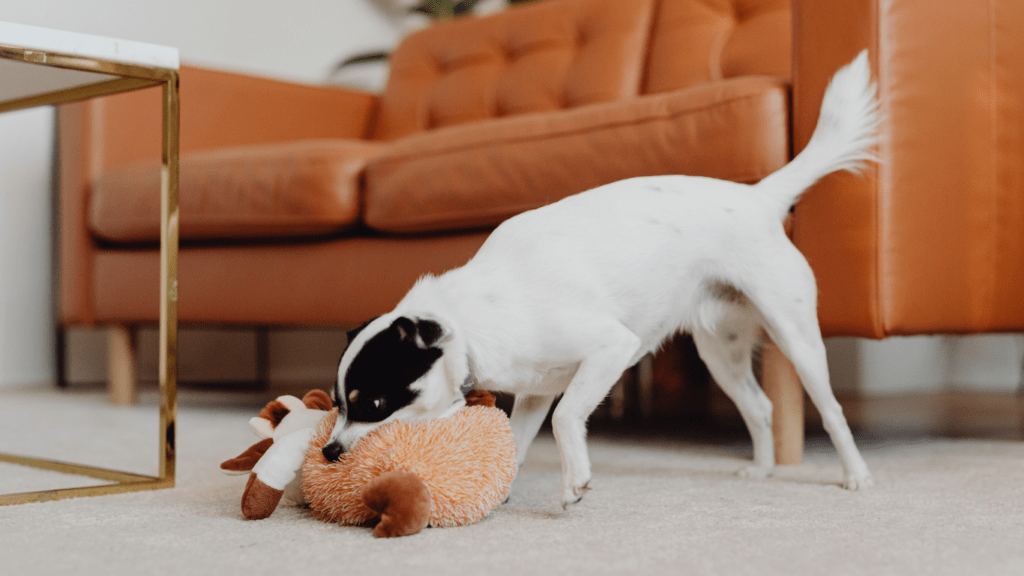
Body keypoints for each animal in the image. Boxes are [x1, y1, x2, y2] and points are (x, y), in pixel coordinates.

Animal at [323, 51, 876, 504]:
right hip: (722, 350)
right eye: (337, 404)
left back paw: (855, 475)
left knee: (831, 410)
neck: (475, 318)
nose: (329, 451)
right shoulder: (536, 389)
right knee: (759, 407)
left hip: (795, 333)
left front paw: (575, 482)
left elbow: (568, 417)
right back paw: (763, 469)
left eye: (373, 404)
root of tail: (758, 196)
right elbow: (517, 442)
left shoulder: (609, 349)